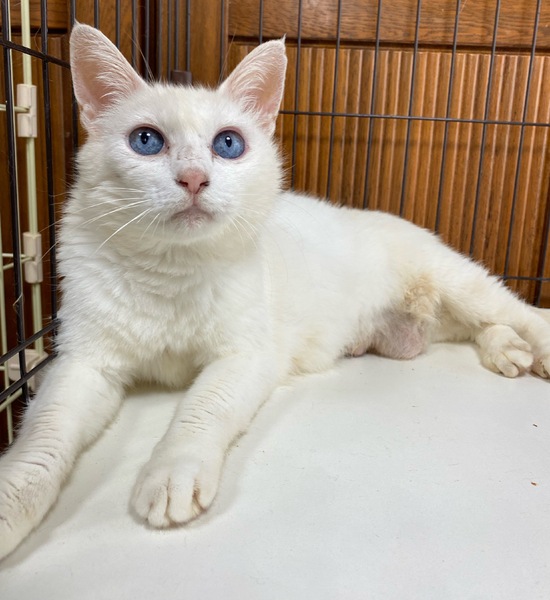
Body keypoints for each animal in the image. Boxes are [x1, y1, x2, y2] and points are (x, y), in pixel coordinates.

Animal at [0, 22, 549, 561]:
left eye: (228, 145)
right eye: (146, 140)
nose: (194, 178)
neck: (171, 269)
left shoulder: (247, 356)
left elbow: (201, 410)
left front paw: (173, 471)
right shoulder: (84, 364)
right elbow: (44, 437)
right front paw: (11, 504)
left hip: (458, 281)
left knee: (518, 311)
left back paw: (534, 350)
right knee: (481, 329)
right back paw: (509, 353)